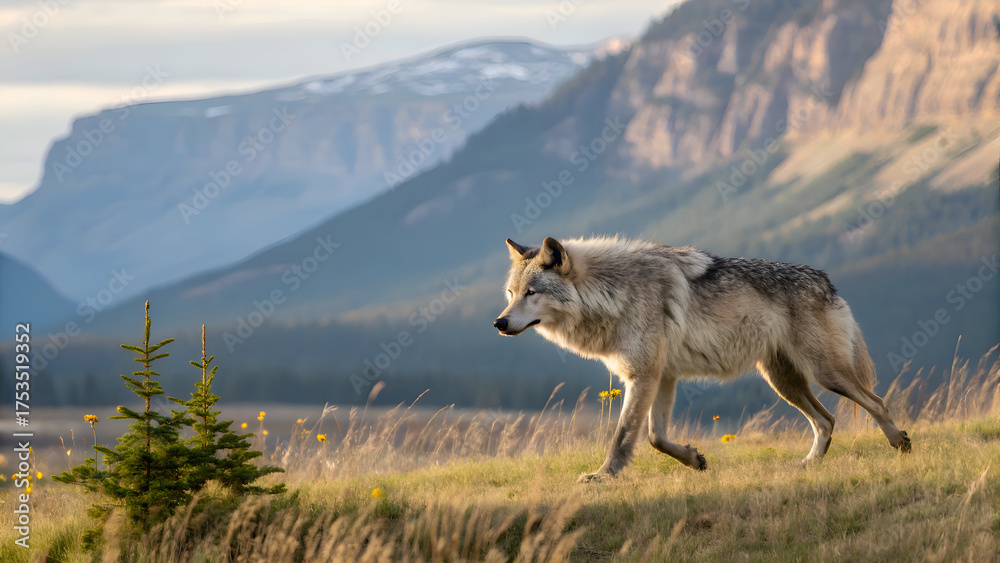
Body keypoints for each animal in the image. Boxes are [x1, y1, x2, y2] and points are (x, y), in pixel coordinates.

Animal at [494, 236, 911, 481]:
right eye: (511, 294)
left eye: (532, 293)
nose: (499, 323)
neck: (612, 293)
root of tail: (826, 280)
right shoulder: (662, 377)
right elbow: (656, 437)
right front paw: (695, 460)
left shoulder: (643, 376)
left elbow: (624, 435)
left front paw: (603, 476)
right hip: (784, 382)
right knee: (827, 421)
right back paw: (810, 464)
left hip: (825, 374)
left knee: (876, 402)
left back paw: (901, 443)